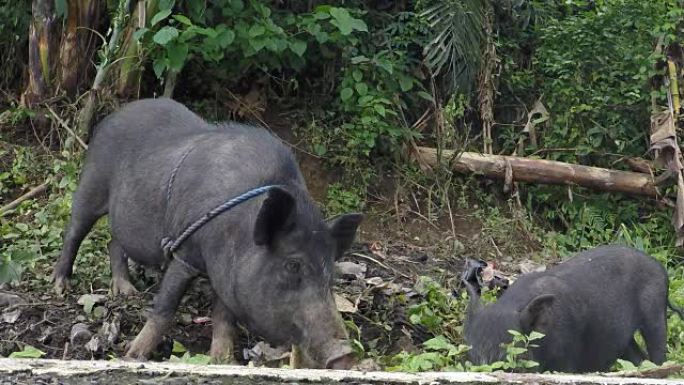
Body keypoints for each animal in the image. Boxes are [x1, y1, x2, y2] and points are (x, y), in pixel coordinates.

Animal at [52, 97, 364, 368]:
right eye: (293, 265)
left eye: (331, 273)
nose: (346, 355)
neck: (237, 227)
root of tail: (113, 115)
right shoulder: (185, 252)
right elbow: (165, 308)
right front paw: (132, 356)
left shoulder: (226, 275)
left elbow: (223, 319)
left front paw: (223, 362)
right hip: (91, 183)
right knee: (74, 231)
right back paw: (60, 287)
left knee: (114, 242)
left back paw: (127, 292)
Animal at [462, 243, 680, 372]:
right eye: (471, 356)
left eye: (508, 360)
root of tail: (661, 269)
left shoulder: (567, 359)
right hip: (623, 336)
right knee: (638, 357)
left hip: (655, 311)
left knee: (658, 350)